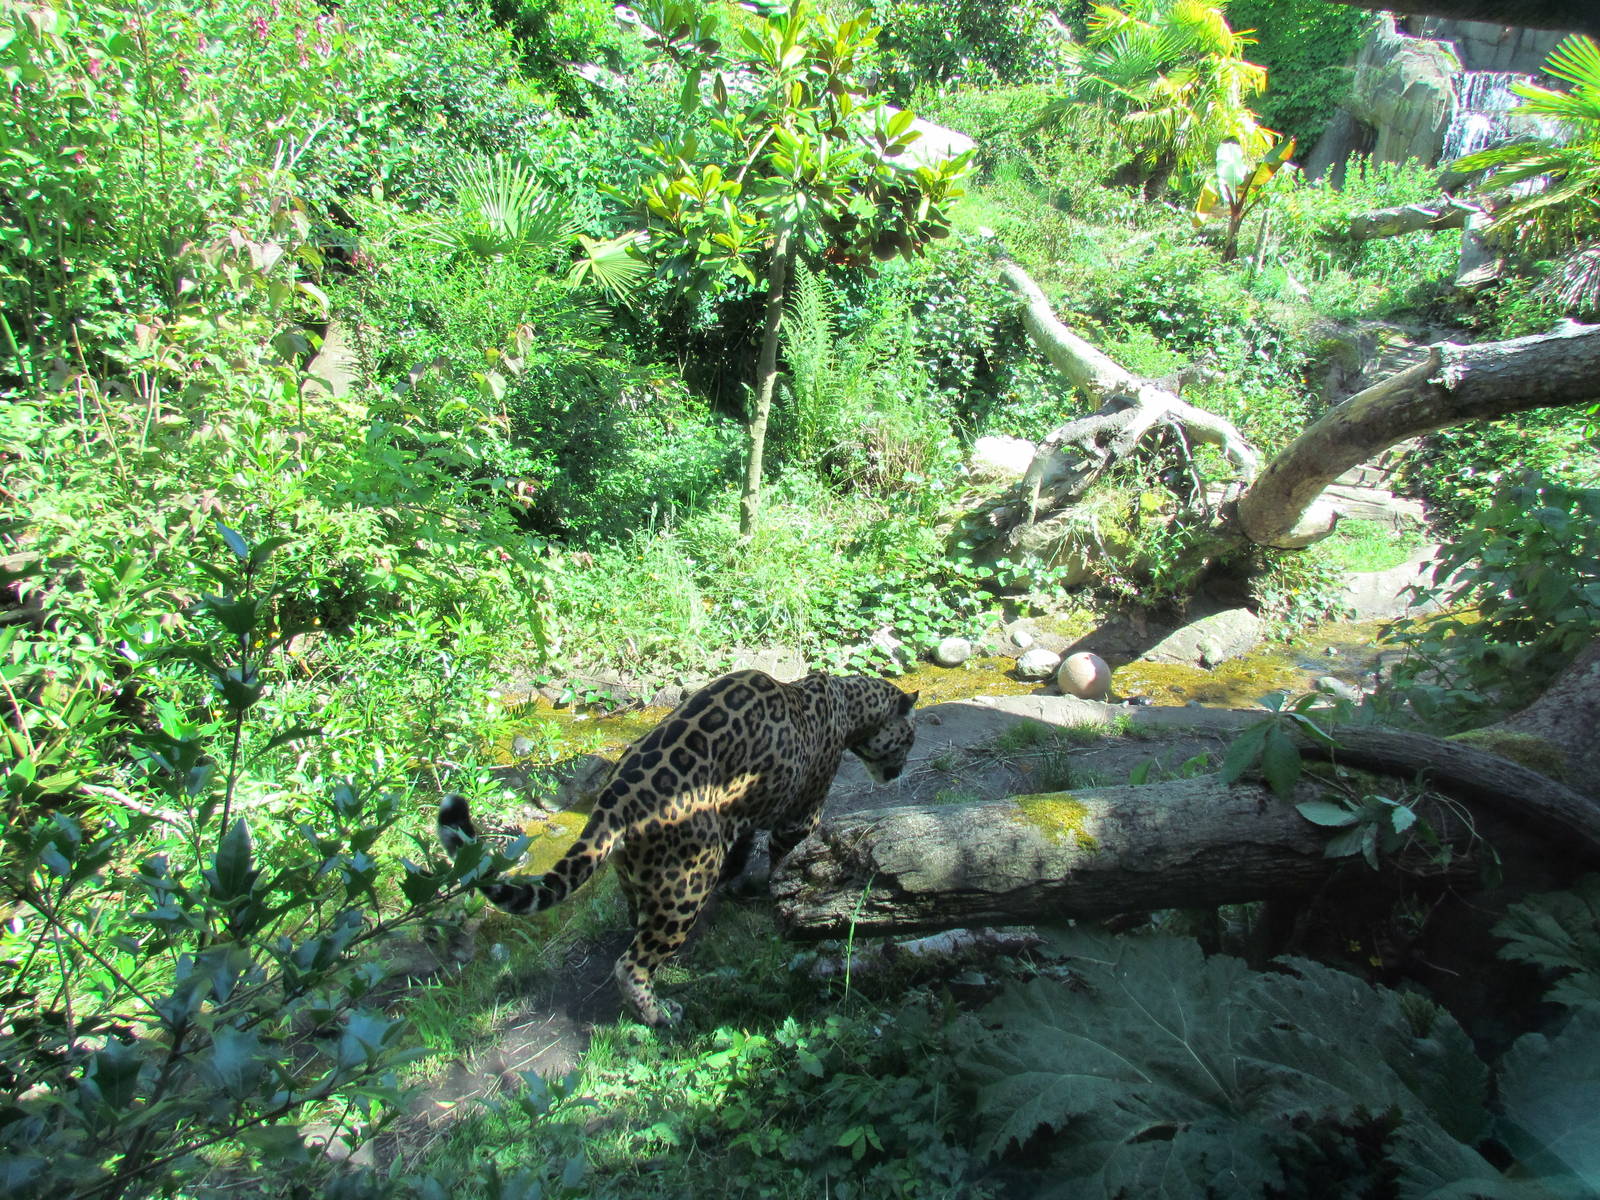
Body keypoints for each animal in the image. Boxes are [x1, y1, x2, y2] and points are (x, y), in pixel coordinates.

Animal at [437, 669, 918, 1027]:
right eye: (910, 738)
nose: (900, 772)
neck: (847, 705)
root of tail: (613, 802)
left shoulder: (741, 812)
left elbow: (743, 851)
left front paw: (741, 885)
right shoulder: (800, 816)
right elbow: (784, 860)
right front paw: (781, 897)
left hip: (640, 868)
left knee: (636, 916)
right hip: (687, 878)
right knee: (632, 962)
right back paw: (658, 1014)